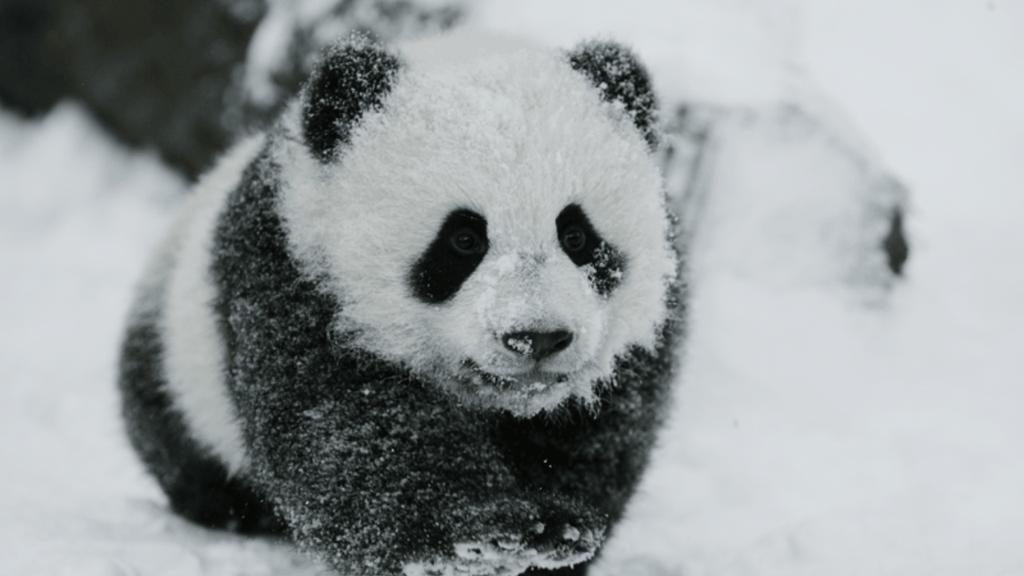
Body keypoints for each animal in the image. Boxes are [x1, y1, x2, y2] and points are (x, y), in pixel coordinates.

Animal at [118, 31, 683, 576]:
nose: (537, 338)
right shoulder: (293, 277)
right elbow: (349, 430)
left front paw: (556, 530)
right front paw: (486, 531)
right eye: (463, 240)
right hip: (175, 373)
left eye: (577, 235)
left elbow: (596, 439)